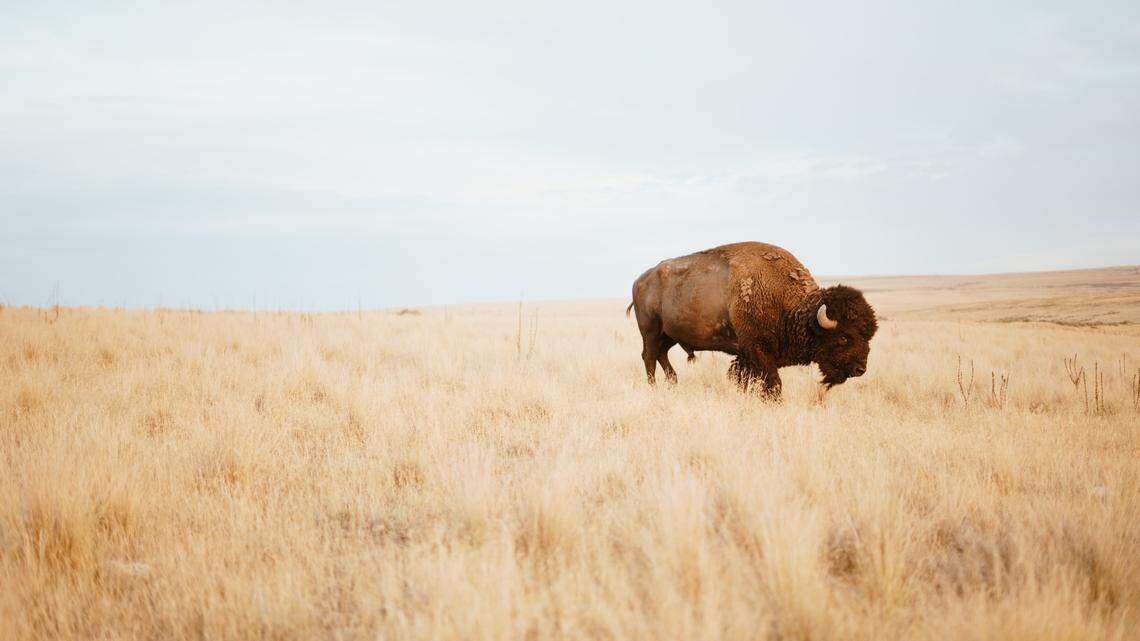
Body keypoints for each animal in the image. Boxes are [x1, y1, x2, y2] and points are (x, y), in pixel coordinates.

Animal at [626, 242, 877, 399]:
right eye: (844, 337)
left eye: (869, 336)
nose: (860, 369)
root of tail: (639, 280)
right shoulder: (758, 350)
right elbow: (773, 383)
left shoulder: (747, 355)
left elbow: (744, 379)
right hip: (651, 332)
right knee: (649, 357)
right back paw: (654, 388)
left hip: (669, 335)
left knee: (661, 355)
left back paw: (673, 383)